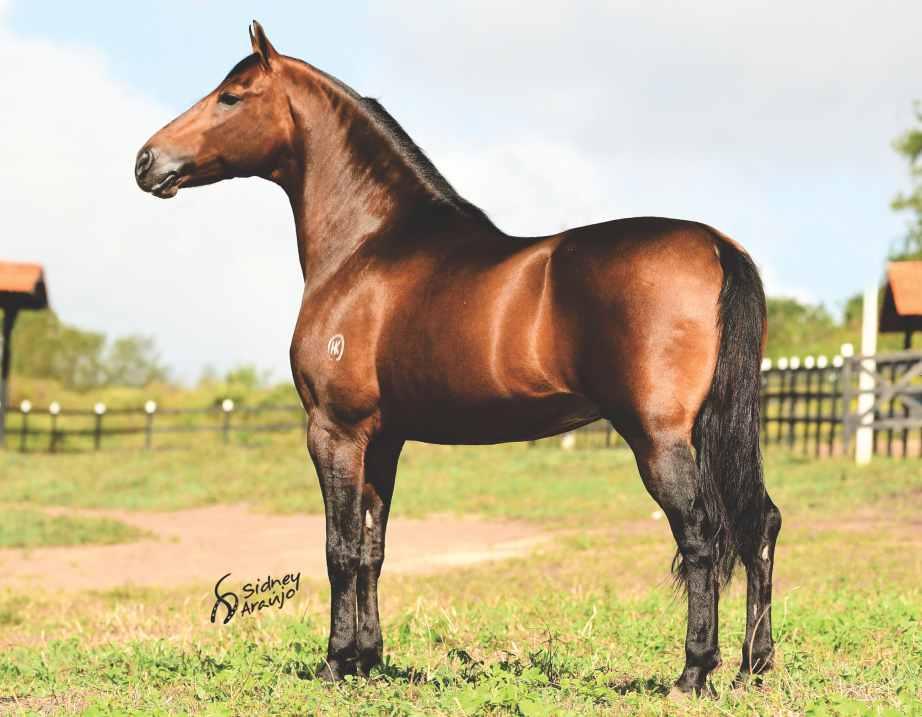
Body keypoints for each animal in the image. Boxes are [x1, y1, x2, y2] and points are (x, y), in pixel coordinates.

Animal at [135, 21, 776, 692]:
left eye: (231, 96)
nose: (146, 161)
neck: (366, 248)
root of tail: (716, 245)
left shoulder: (335, 431)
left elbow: (338, 548)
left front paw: (336, 662)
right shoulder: (383, 439)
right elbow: (372, 550)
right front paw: (369, 660)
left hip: (659, 437)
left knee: (701, 535)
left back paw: (694, 672)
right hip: (712, 432)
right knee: (759, 525)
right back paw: (753, 667)